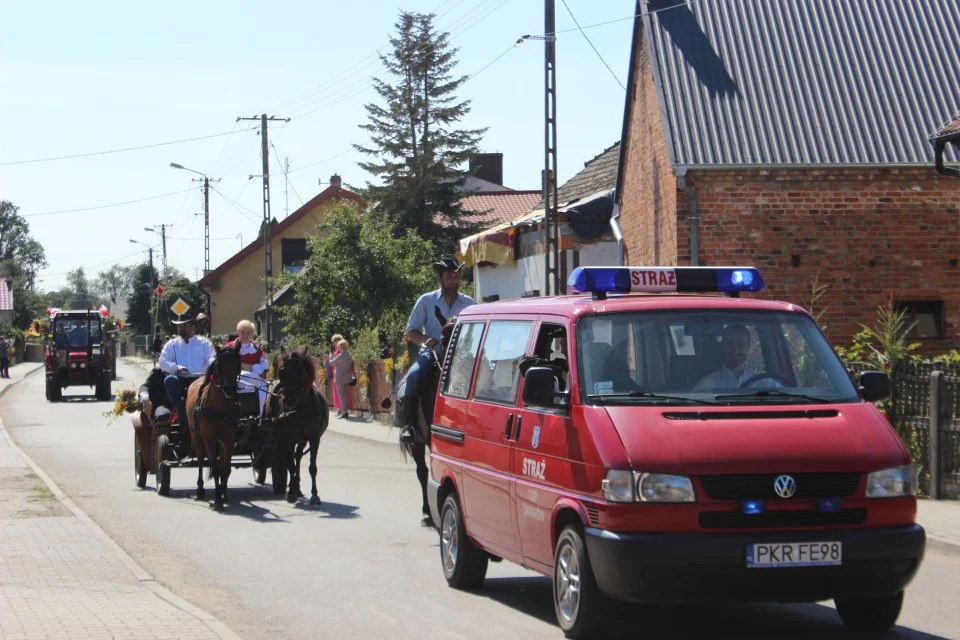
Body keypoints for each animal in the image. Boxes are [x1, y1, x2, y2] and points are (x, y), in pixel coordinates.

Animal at [186, 342, 242, 512]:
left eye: (237, 364)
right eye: (219, 366)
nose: (230, 389)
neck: (220, 407)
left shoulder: (229, 439)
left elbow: (225, 468)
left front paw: (224, 495)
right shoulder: (209, 439)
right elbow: (215, 468)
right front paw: (217, 500)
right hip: (197, 436)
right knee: (200, 459)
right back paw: (200, 489)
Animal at [266, 350, 330, 504]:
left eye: (301, 371)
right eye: (281, 371)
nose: (289, 400)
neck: (301, 410)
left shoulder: (314, 438)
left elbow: (312, 467)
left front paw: (314, 495)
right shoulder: (287, 439)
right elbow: (291, 466)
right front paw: (291, 492)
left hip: (302, 440)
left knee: (298, 456)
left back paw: (298, 488)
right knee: (292, 459)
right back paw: (294, 487)